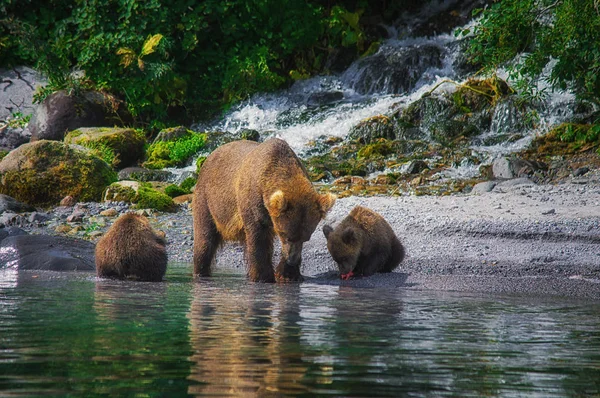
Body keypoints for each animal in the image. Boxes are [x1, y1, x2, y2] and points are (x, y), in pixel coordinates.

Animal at [195, 138, 338, 282]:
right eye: (285, 235)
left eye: (306, 238)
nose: (291, 260)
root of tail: (210, 155)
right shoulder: (253, 203)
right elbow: (259, 239)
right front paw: (264, 276)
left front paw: (288, 274)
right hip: (208, 200)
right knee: (205, 237)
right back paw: (201, 271)